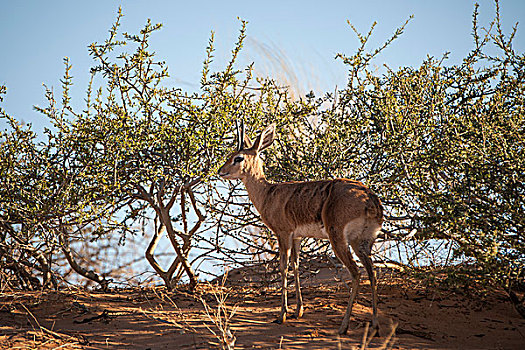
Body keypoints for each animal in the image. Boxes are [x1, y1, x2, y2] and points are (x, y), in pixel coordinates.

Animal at [216, 122, 380, 334]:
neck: (268, 194)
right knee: (372, 272)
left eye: (239, 157)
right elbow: (296, 265)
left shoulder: (283, 234)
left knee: (356, 273)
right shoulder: (297, 237)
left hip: (340, 239)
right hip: (363, 242)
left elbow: (283, 267)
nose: (221, 171)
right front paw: (298, 311)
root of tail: (370, 199)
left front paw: (282, 315)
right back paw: (375, 326)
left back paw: (343, 327)